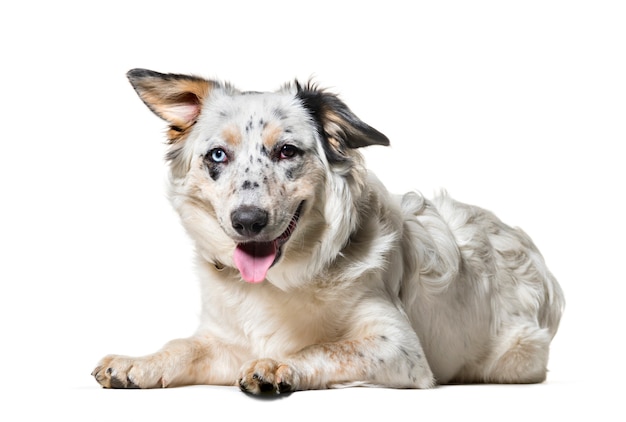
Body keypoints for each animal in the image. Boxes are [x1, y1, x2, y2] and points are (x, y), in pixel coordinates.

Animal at [90, 67, 564, 394]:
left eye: (286, 151)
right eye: (218, 156)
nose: (247, 221)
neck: (280, 281)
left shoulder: (401, 347)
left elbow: (320, 348)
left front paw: (277, 364)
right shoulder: (226, 338)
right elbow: (184, 345)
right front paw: (138, 362)